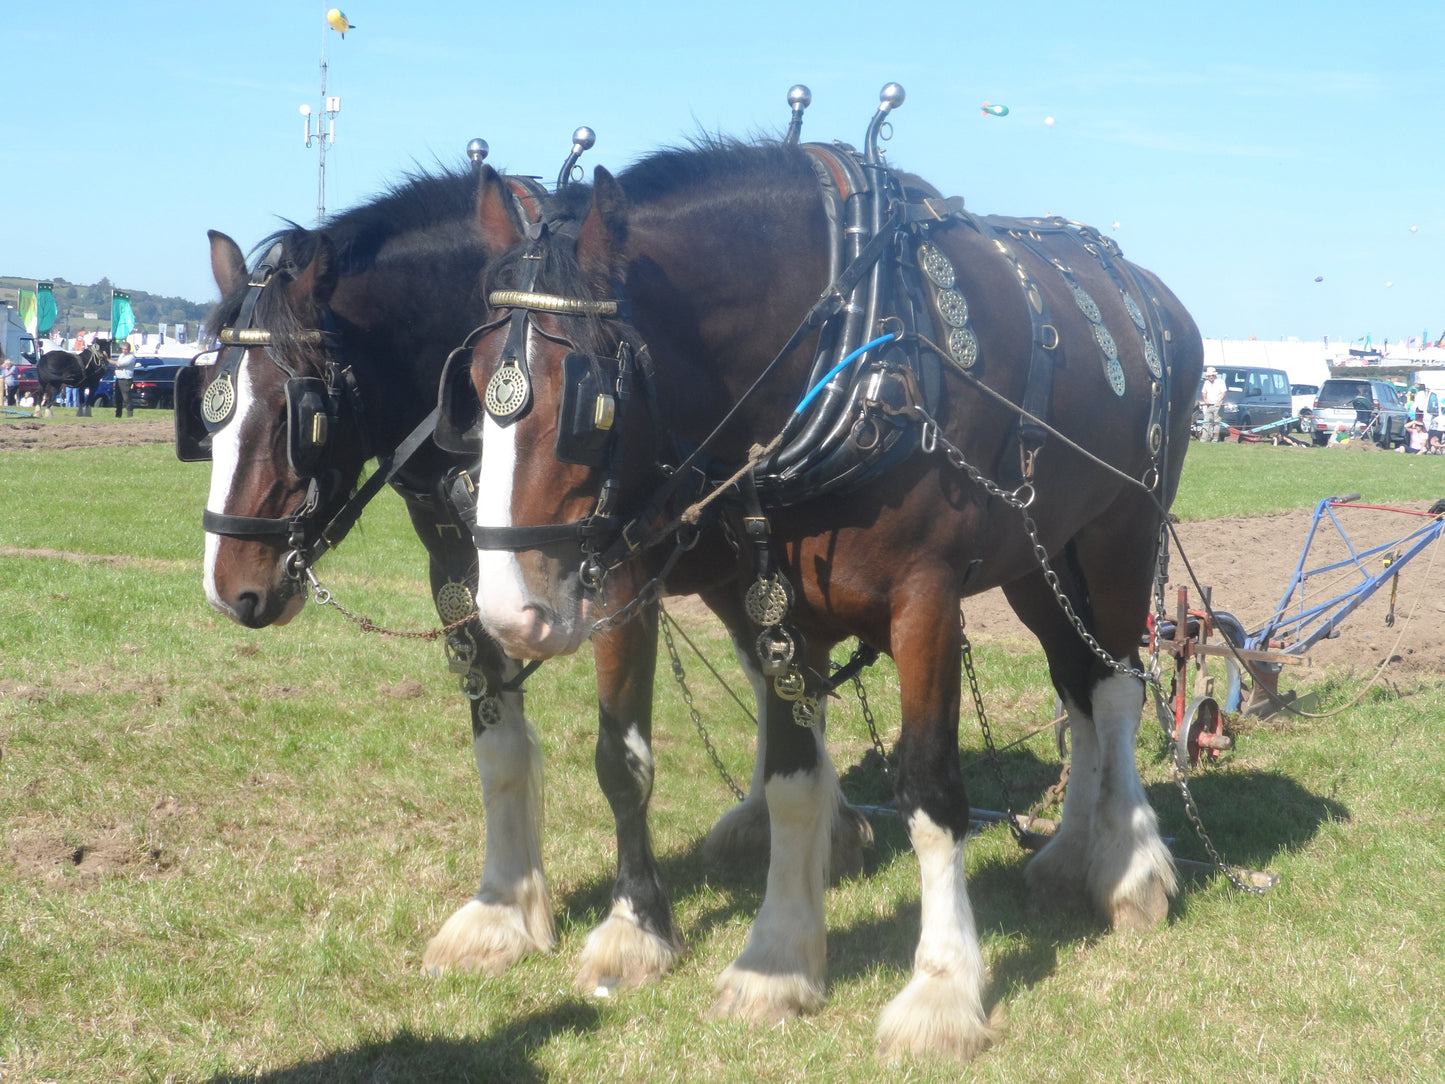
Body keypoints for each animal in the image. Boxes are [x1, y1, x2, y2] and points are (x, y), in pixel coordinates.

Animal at [455, 92, 1203, 1060]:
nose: (509, 611)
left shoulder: (926, 600)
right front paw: (775, 960)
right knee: (1074, 687)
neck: (847, 351)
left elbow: (929, 789)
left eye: (588, 395)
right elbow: (791, 782)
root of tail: (1158, 298)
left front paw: (942, 991)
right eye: (473, 378)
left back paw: (1130, 866)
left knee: (1114, 688)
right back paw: (1071, 853)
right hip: (1036, 559)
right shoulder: (777, 605)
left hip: (1119, 534)